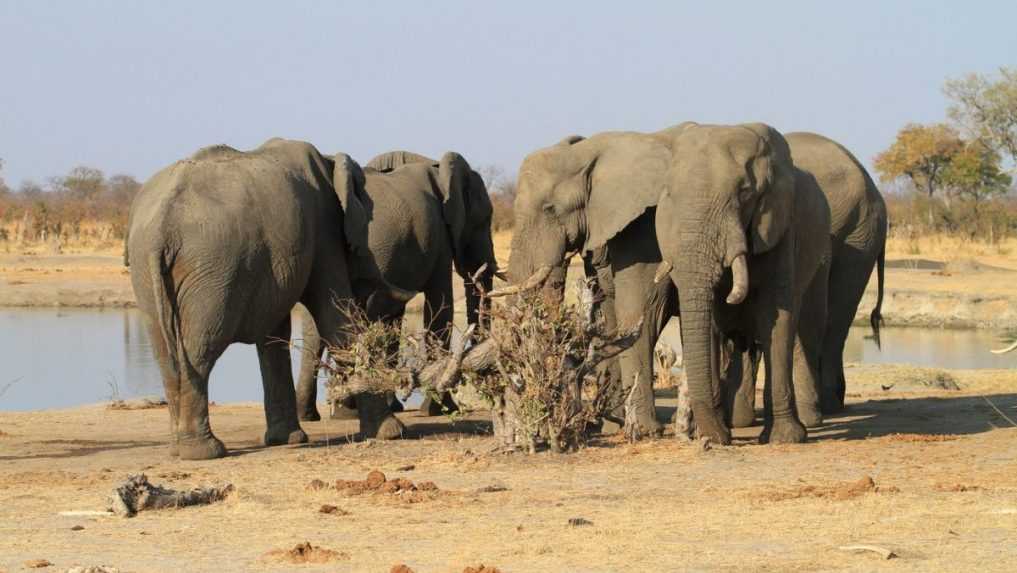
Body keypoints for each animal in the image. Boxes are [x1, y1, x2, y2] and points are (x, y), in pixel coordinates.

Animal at [127, 136, 412, 460]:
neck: (328, 162)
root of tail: (160, 228)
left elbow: (274, 337)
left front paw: (287, 440)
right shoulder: (324, 228)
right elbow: (335, 318)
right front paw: (393, 433)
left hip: (149, 272)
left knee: (166, 354)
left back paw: (179, 449)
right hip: (210, 273)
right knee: (201, 348)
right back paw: (205, 452)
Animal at [292, 150, 502, 427]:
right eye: (484, 220)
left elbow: (394, 323)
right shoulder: (439, 238)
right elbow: (439, 307)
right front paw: (438, 409)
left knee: (316, 331)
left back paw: (319, 414)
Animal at [654, 122, 829, 443]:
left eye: (745, 193)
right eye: (669, 194)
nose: (718, 439)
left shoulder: (781, 227)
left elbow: (776, 313)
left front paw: (784, 439)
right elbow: (709, 322)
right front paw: (713, 433)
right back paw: (734, 421)